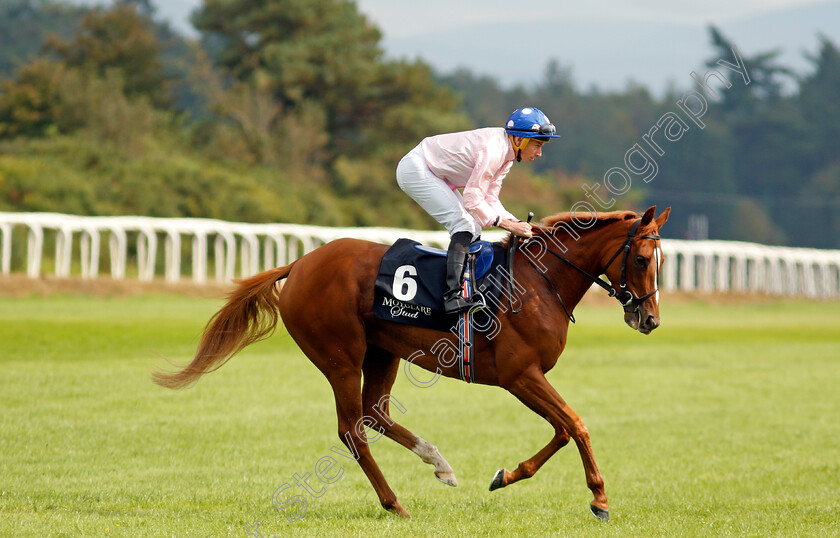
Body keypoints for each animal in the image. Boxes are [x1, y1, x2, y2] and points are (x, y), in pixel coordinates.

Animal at [154, 204, 672, 520]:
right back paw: (394, 502)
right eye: (642, 258)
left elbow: (562, 430)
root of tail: (299, 264)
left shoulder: (527, 377)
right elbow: (576, 424)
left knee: (375, 414)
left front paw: (506, 476)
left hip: (382, 350)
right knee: (352, 429)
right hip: (341, 356)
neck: (538, 282)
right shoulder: (519, 375)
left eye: (662, 261)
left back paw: (438, 463)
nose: (650, 319)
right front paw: (600, 498)